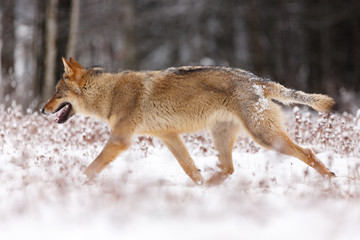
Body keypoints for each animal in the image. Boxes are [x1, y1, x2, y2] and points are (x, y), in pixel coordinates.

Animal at [40, 57, 336, 184]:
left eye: (57, 92)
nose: (42, 110)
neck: (110, 94)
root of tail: (259, 81)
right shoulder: (169, 137)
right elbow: (190, 170)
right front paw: (198, 186)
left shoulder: (121, 140)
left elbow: (91, 168)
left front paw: (72, 183)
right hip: (223, 136)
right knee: (228, 169)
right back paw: (211, 186)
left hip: (265, 138)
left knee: (308, 152)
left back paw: (330, 180)